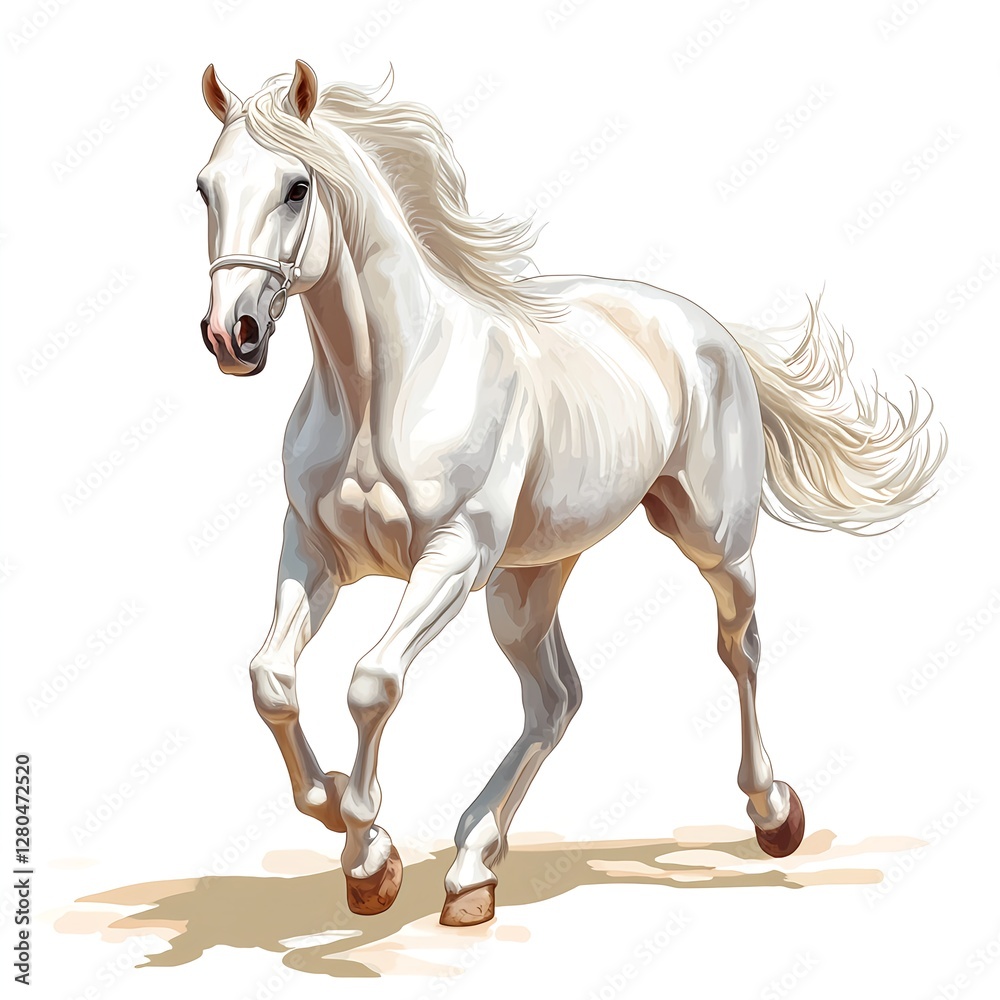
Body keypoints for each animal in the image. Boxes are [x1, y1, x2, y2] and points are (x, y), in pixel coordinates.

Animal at [195, 60, 946, 927]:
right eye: (204, 187)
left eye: (296, 186)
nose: (232, 336)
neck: (385, 386)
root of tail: (709, 330)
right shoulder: (313, 551)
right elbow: (272, 681)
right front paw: (347, 822)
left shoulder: (451, 558)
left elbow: (371, 683)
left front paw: (369, 858)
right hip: (527, 583)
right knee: (555, 699)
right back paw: (472, 871)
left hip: (713, 542)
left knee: (739, 648)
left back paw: (773, 812)